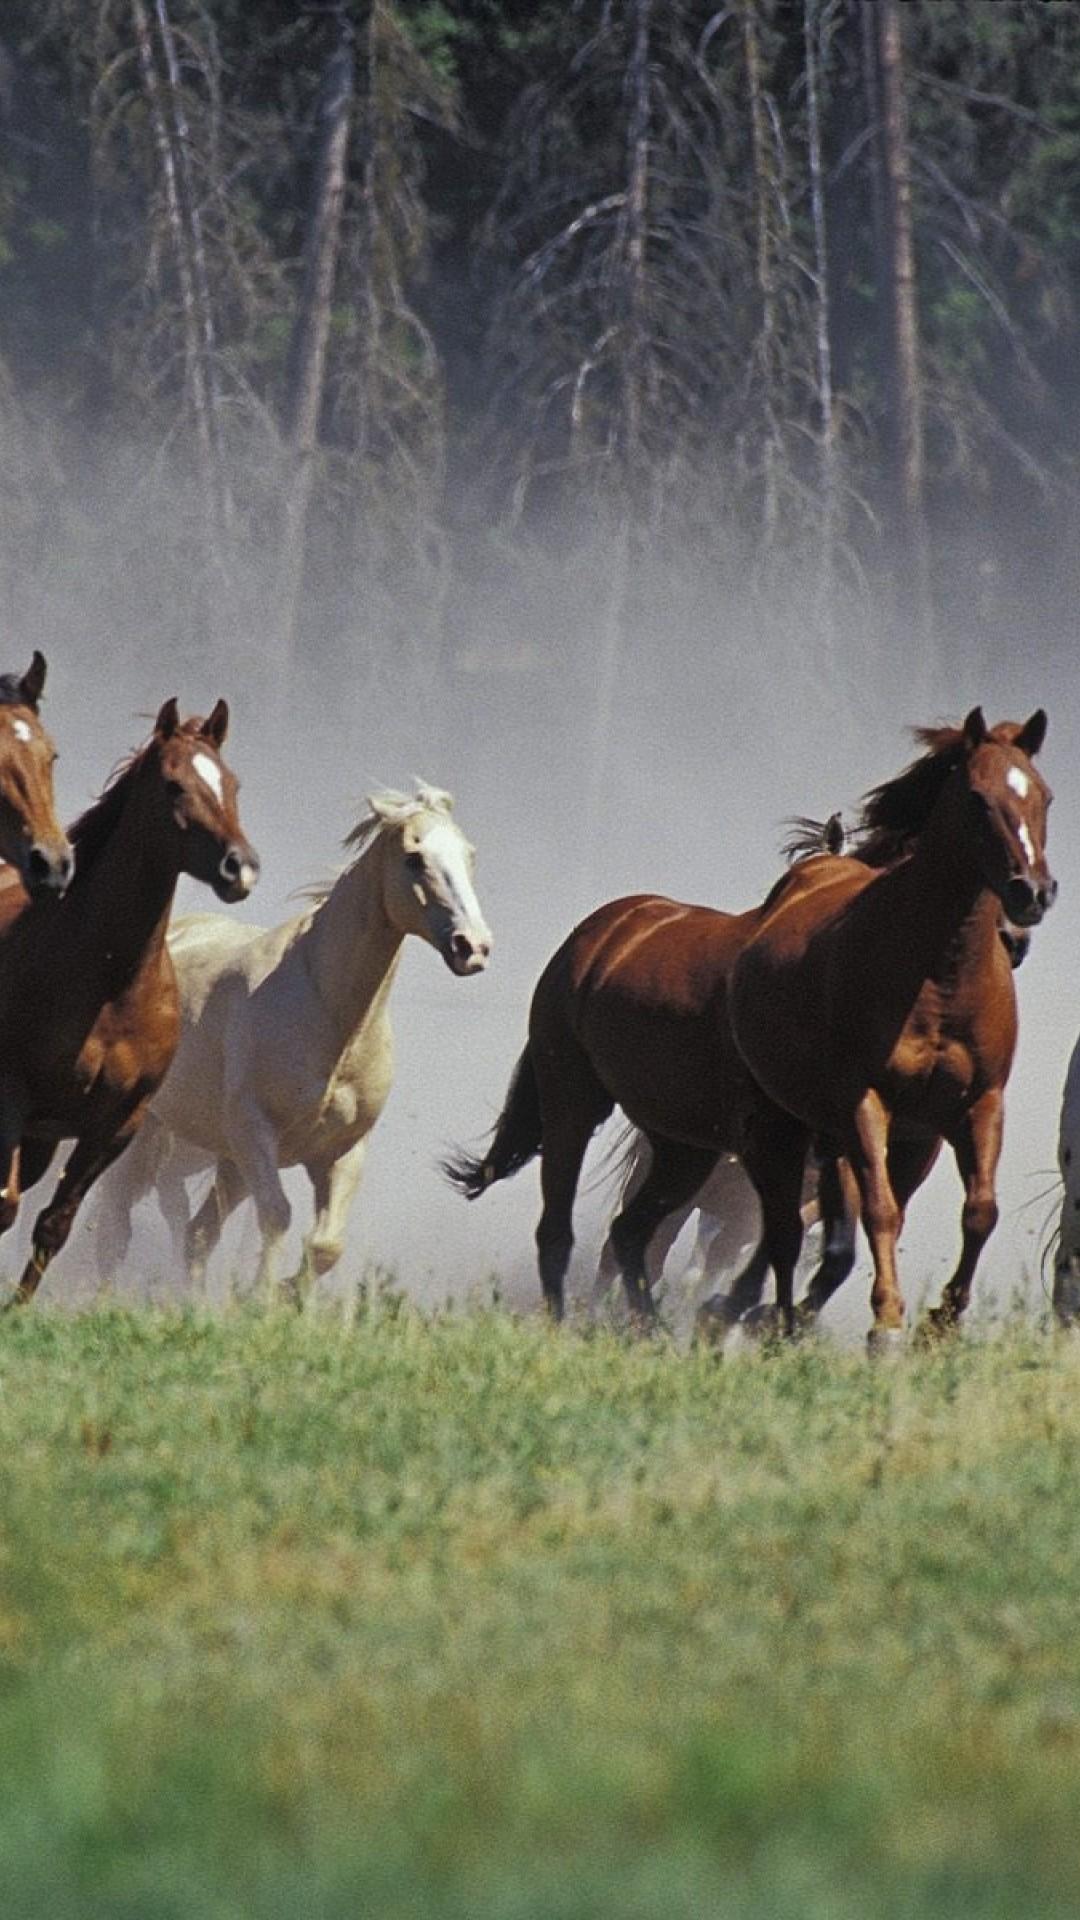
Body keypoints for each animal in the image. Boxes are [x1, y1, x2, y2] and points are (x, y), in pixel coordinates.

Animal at [0, 698, 259, 1313]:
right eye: (173, 785)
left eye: (232, 783)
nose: (239, 867)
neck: (110, 986)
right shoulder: (11, 1099)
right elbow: (7, 1205)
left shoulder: (117, 1125)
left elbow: (54, 1225)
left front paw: (17, 1309)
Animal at [89, 783, 491, 1305]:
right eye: (414, 857)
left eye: (469, 855)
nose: (473, 947)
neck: (329, 1017)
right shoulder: (256, 1133)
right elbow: (277, 1216)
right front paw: (262, 1297)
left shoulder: (341, 1152)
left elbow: (326, 1245)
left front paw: (283, 1295)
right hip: (148, 1136)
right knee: (114, 1231)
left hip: (227, 1160)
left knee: (197, 1235)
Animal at [722, 706, 1053, 1351]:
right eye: (977, 797)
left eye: (1045, 797)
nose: (1032, 892)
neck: (940, 979)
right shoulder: (864, 1103)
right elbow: (878, 1211)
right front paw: (888, 1326)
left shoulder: (975, 1106)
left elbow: (980, 1211)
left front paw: (941, 1322)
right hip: (782, 1122)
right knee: (783, 1230)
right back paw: (767, 1318)